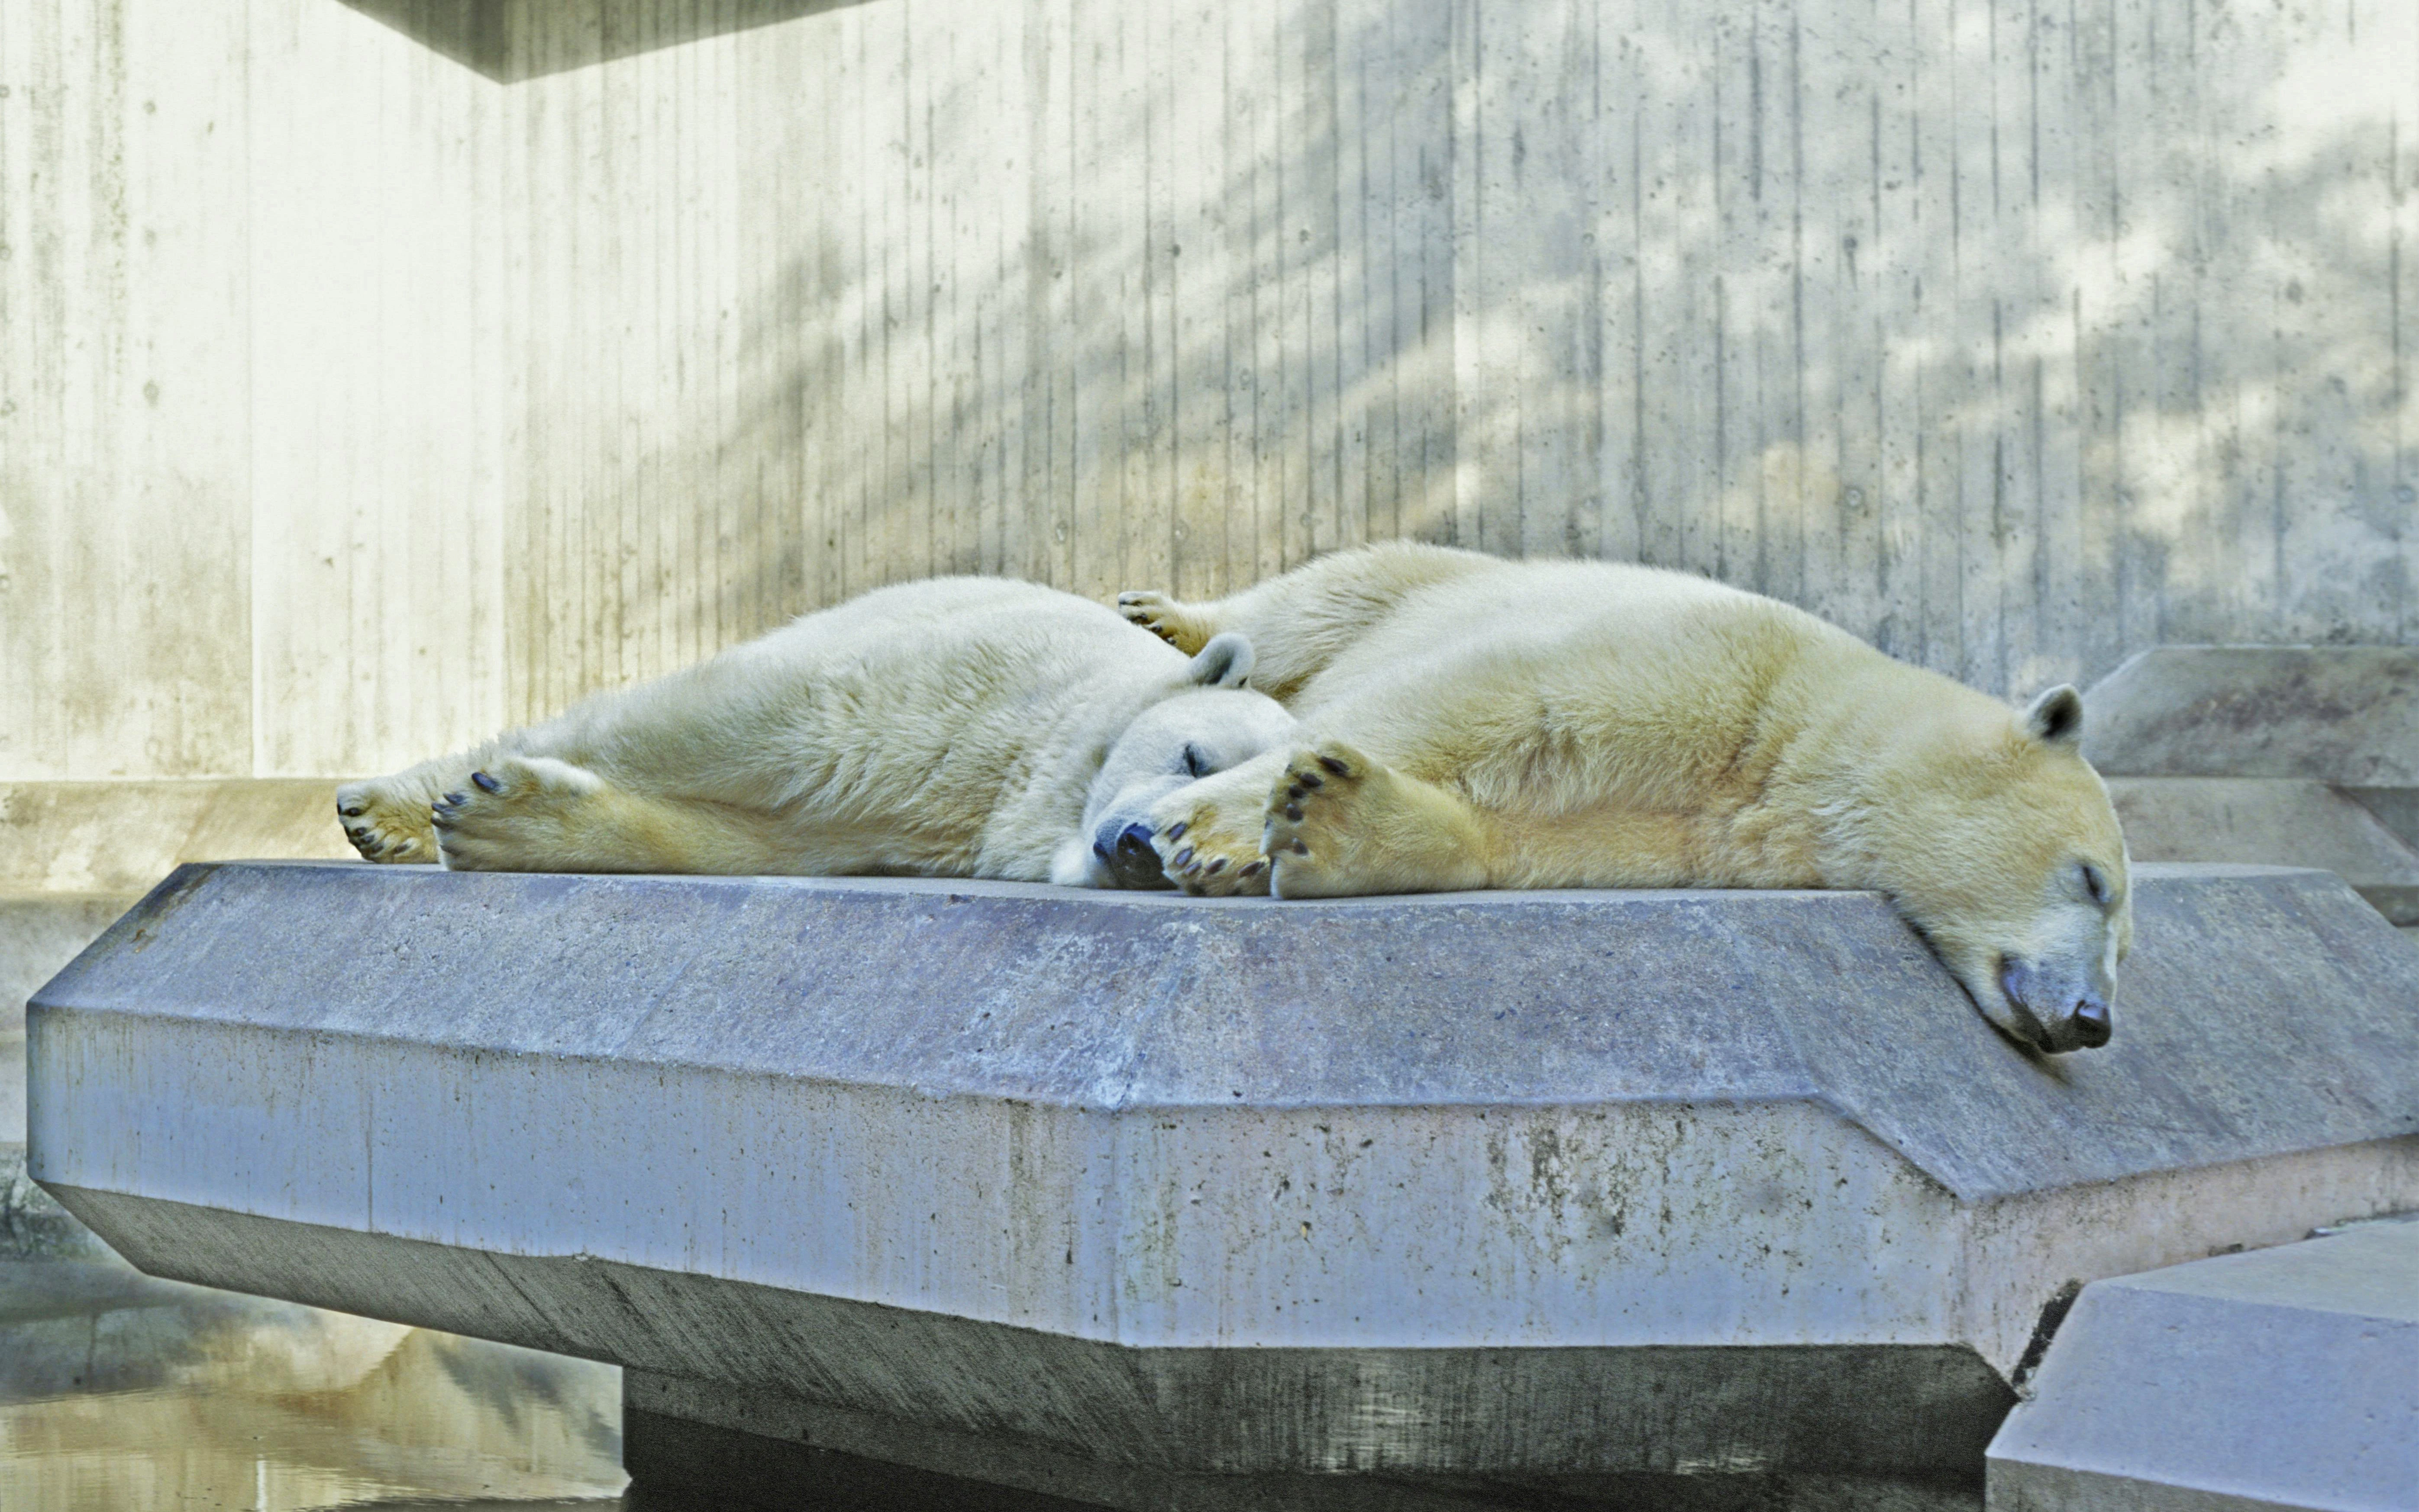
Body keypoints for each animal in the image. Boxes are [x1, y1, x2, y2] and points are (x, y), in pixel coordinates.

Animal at [337, 577, 1298, 889]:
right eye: (1193, 756)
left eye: (1252, 850)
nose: (1139, 846)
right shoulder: (972, 686)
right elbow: (715, 728)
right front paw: (431, 804)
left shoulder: (924, 828)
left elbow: (767, 842)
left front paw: (503, 821)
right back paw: (377, 813)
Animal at [1118, 543, 2133, 1054]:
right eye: (2091, 881)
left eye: (2126, 947)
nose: (2093, 1022)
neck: (1796, 740)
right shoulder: (1708, 663)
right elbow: (1485, 702)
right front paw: (1207, 830)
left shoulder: (1698, 833)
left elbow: (1521, 841)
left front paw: (1330, 816)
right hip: (1429, 576)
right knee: (1317, 599)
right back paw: (1164, 618)